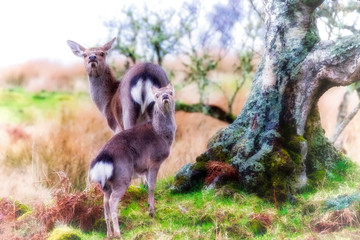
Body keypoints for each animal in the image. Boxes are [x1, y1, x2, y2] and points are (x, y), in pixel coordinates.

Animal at [88, 83, 176, 237]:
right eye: (156, 95)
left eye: (171, 92)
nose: (165, 96)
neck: (162, 135)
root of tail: (102, 161)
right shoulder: (154, 160)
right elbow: (152, 186)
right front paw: (152, 212)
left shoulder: (145, 168)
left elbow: (147, 185)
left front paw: (149, 208)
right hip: (122, 176)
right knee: (112, 202)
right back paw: (118, 233)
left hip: (105, 185)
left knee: (105, 203)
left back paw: (109, 234)